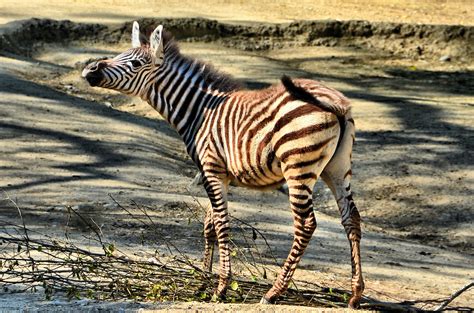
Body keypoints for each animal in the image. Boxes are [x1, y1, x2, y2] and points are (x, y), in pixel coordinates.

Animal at [81, 22, 364, 308]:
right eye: (120, 55)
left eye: (136, 63)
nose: (89, 70)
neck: (199, 111)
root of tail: (336, 104)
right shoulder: (218, 175)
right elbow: (209, 226)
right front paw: (203, 282)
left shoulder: (211, 169)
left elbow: (220, 224)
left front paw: (221, 287)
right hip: (337, 168)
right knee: (351, 218)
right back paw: (354, 295)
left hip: (298, 167)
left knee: (305, 224)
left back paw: (274, 292)